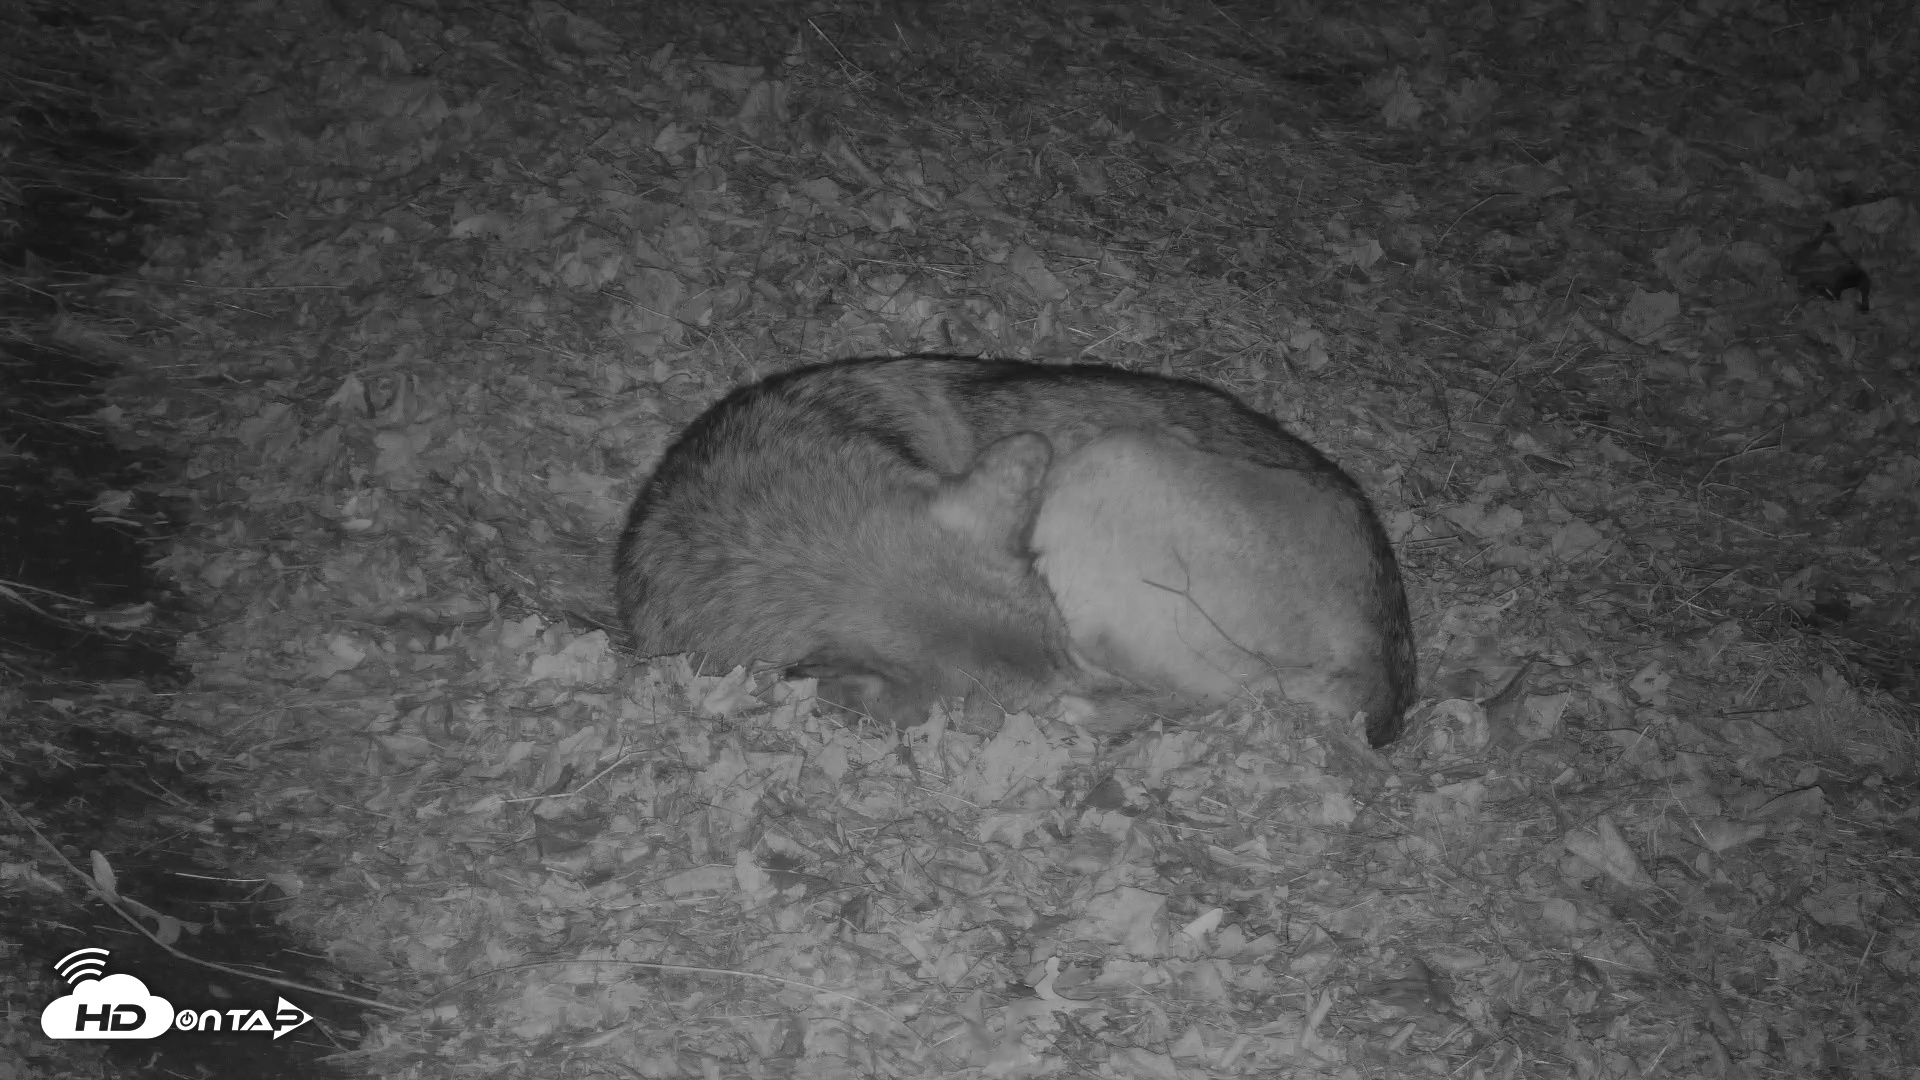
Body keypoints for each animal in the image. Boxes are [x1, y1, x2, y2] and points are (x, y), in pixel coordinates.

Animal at [614, 357, 1415, 745]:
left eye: (1060, 685)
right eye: (1042, 699)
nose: (1095, 704)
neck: (755, 531)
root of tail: (1380, 676)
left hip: (1107, 465)